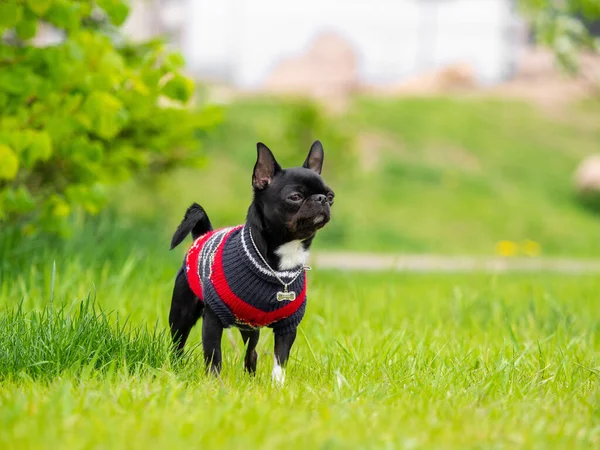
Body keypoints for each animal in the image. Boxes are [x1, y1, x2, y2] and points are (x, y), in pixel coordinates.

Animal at [169, 141, 336, 384]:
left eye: (331, 196)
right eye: (295, 197)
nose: (322, 199)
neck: (279, 264)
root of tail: (203, 234)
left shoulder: (287, 326)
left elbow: (280, 360)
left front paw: (278, 386)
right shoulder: (212, 319)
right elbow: (214, 356)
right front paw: (214, 385)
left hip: (250, 327)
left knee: (252, 352)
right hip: (181, 315)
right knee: (177, 345)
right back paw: (174, 368)